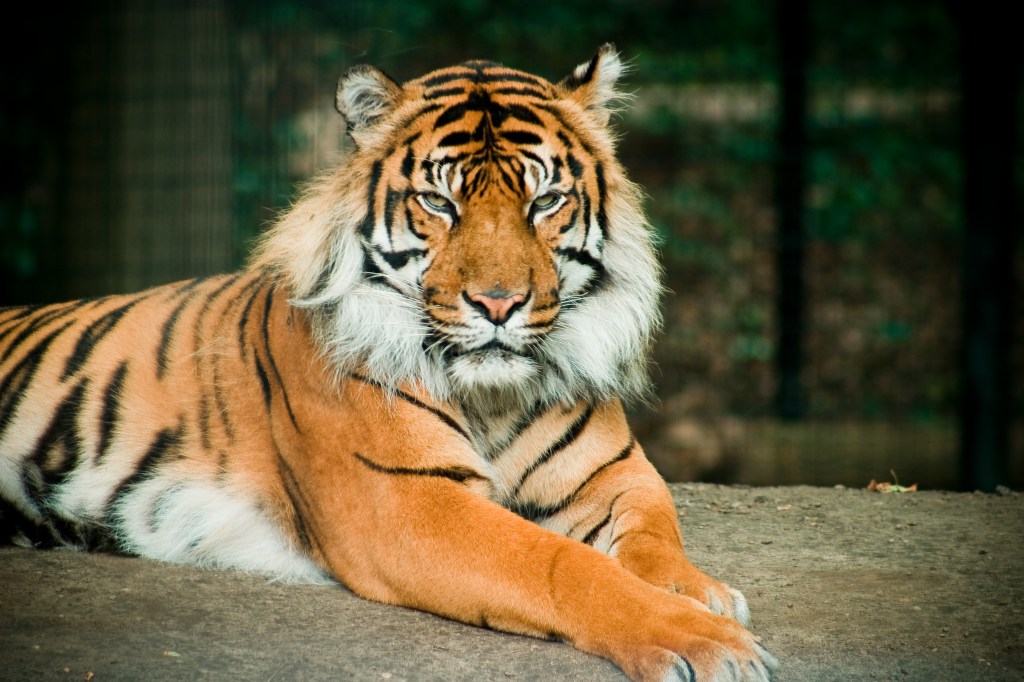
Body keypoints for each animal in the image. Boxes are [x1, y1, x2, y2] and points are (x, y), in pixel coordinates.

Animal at [0, 45, 776, 681]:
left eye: (546, 201)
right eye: (439, 202)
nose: (498, 304)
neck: (491, 397)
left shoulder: (616, 474)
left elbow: (653, 534)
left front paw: (699, 592)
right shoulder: (407, 502)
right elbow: (561, 564)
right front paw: (704, 639)